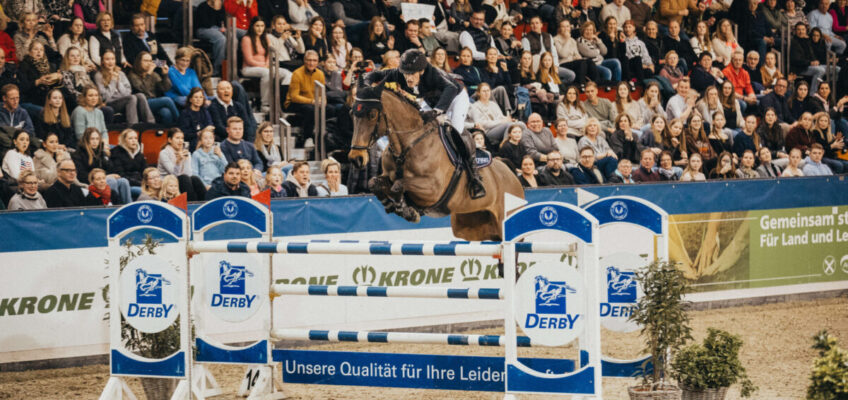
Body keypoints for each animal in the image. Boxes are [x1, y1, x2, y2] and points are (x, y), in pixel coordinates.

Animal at [346, 82, 524, 241]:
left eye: (372, 115)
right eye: (351, 113)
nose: (356, 158)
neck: (408, 143)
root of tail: (510, 173)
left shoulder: (433, 189)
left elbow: (398, 185)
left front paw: (407, 210)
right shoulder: (386, 175)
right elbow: (374, 183)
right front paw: (392, 205)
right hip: (473, 226)